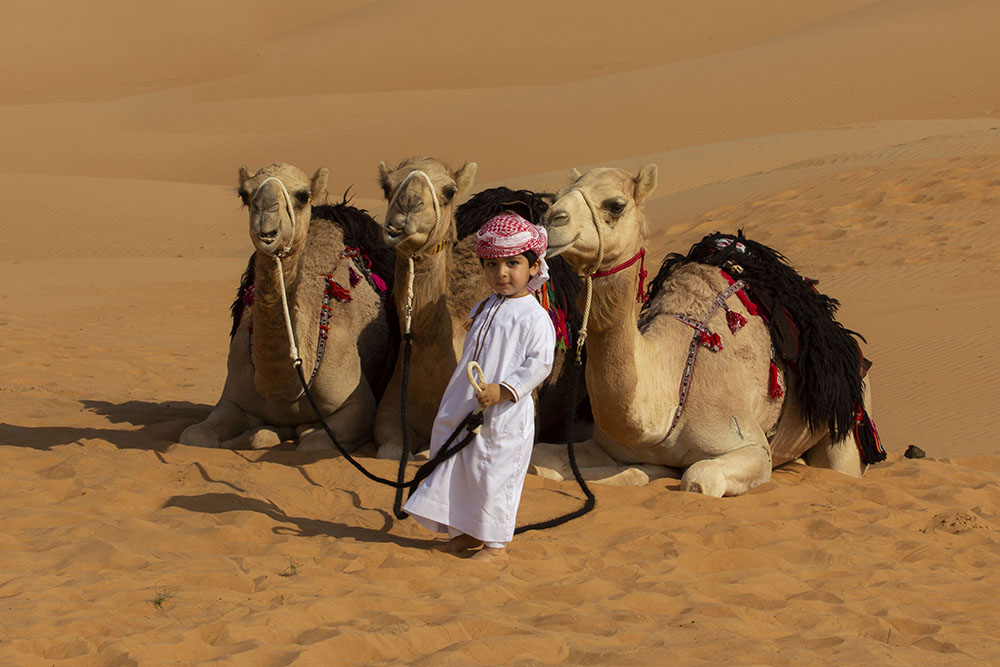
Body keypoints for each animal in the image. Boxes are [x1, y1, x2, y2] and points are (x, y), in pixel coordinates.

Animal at [180, 163, 396, 452]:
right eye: (244, 194)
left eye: (303, 195)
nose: (265, 217)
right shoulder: (232, 398)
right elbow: (194, 435)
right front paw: (260, 434)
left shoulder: (358, 406)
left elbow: (312, 444)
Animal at [530, 166, 882, 495]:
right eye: (556, 196)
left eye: (616, 205)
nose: (552, 221)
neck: (668, 399)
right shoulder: (605, 446)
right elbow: (539, 461)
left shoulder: (750, 446)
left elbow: (697, 479)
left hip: (849, 420)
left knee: (841, 467)